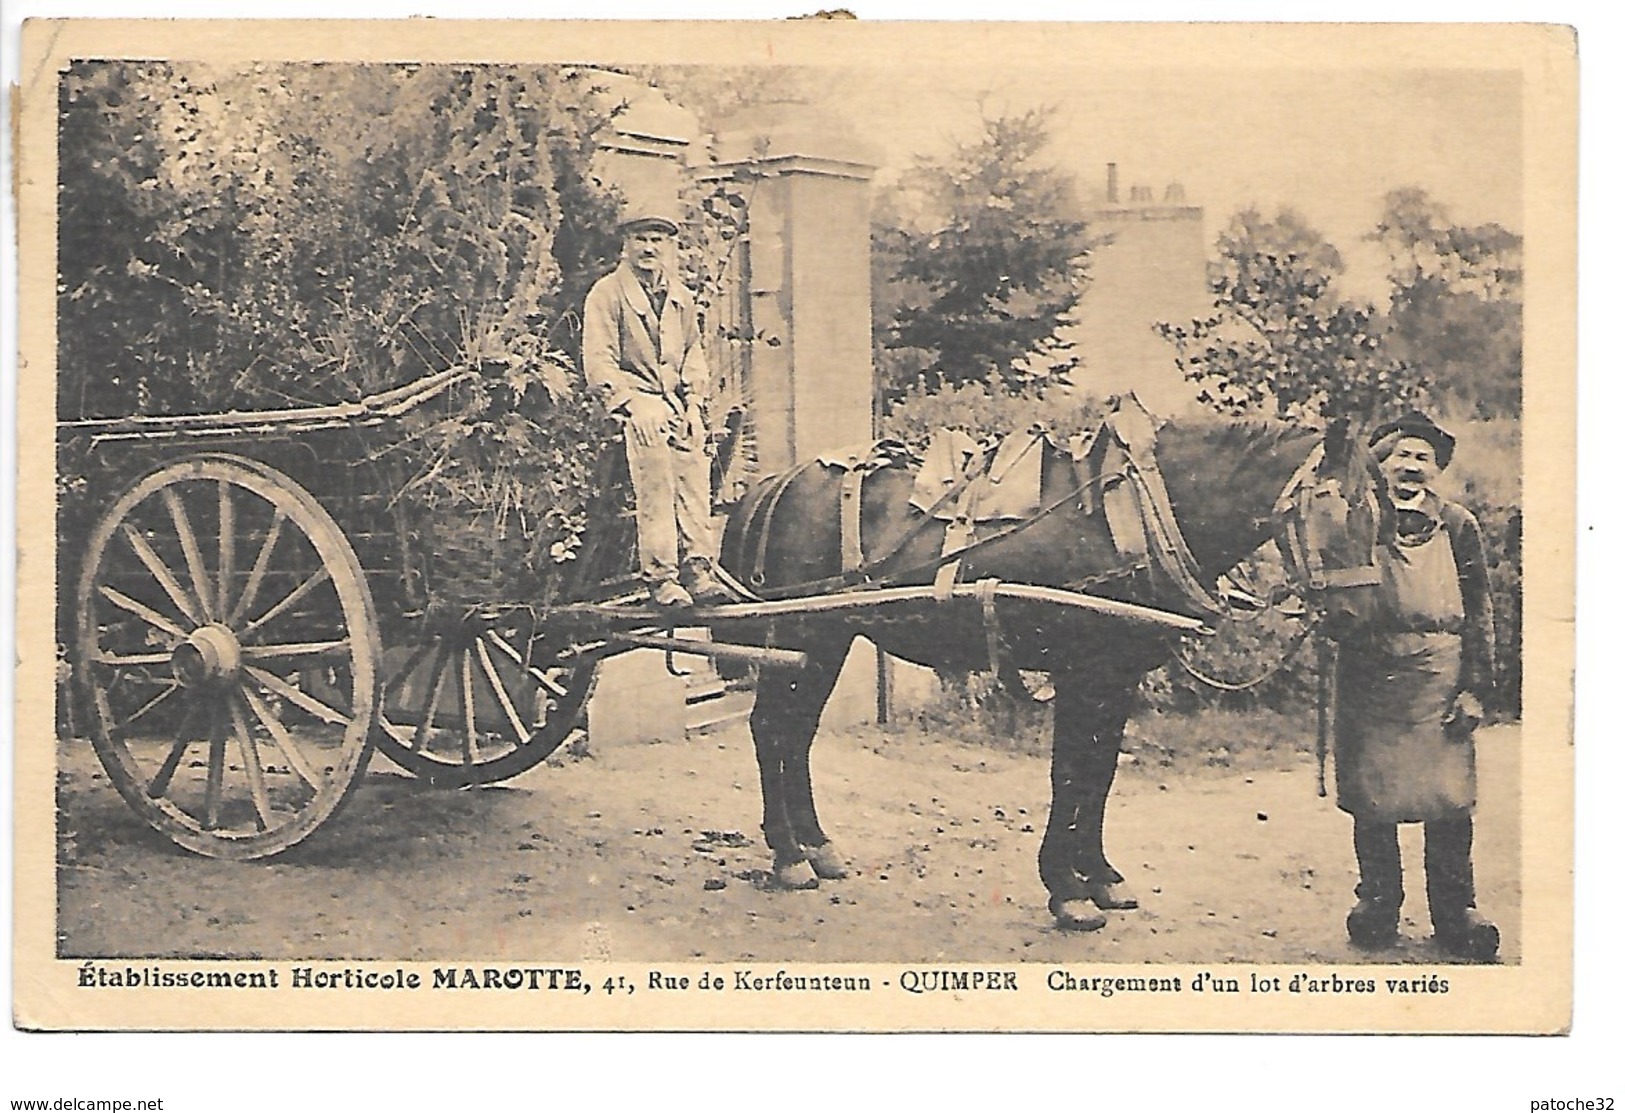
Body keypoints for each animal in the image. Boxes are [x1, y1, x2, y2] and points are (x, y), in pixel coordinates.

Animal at [715, 401, 1384, 929]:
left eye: (1381, 517)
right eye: (1335, 512)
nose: (1359, 618)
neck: (1140, 515)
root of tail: (777, 482)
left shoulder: (1118, 674)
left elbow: (1099, 774)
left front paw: (1100, 876)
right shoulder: (1082, 669)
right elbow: (1070, 775)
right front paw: (1066, 891)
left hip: (827, 637)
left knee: (795, 734)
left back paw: (816, 846)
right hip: (807, 630)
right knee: (771, 729)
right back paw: (789, 855)